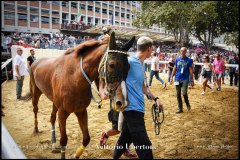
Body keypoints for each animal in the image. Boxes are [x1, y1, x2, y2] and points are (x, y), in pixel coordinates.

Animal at [30, 31, 135, 159]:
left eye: (129, 67)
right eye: (112, 65)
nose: (122, 102)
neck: (73, 78)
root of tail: (36, 62)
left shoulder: (81, 111)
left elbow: (86, 138)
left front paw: (76, 155)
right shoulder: (63, 112)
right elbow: (64, 140)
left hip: (54, 102)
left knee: (52, 118)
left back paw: (53, 143)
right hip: (36, 92)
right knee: (35, 109)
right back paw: (36, 128)